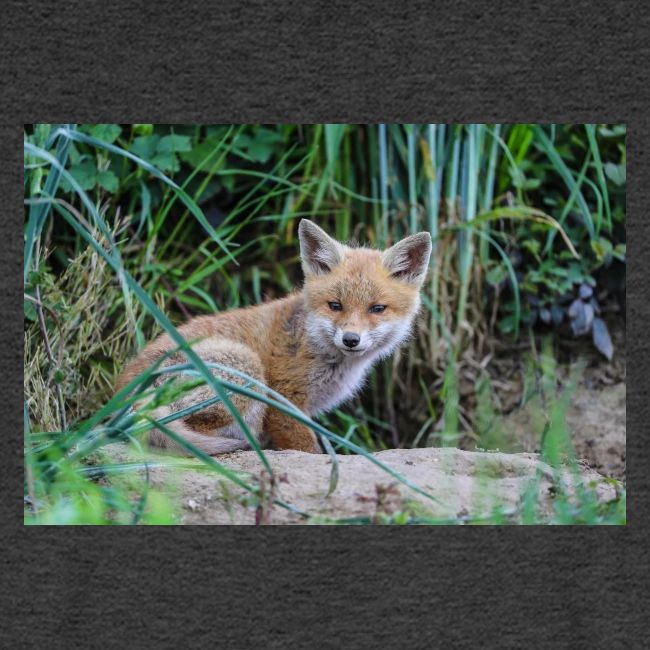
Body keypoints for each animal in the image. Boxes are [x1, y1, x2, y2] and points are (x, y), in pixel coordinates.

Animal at [116, 219, 432, 455]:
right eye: (335, 305)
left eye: (377, 309)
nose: (351, 339)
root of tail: (124, 395)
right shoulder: (284, 401)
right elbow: (308, 449)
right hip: (246, 368)